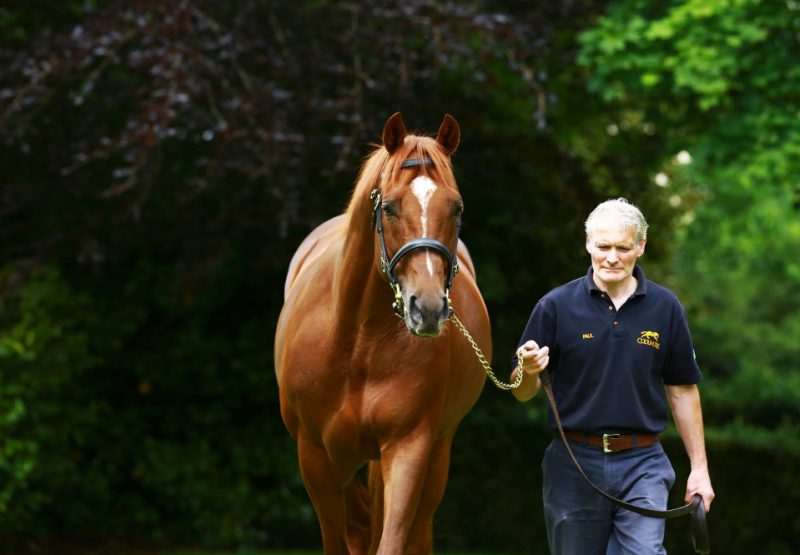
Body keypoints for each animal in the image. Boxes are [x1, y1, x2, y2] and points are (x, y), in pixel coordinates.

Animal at [276, 113, 490, 555]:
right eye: (389, 208)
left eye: (456, 207)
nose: (428, 308)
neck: (359, 340)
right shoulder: (315, 458)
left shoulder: (408, 447)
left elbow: (391, 538)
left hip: (437, 451)